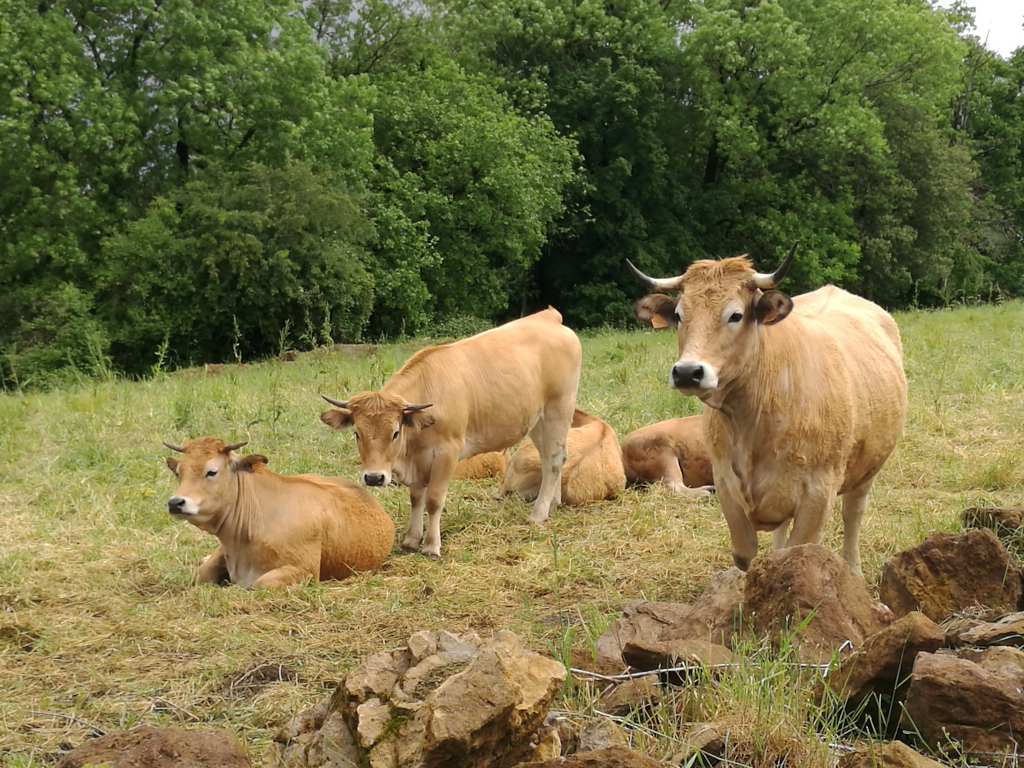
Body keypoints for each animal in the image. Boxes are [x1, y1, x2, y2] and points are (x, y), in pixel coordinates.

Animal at [163, 437, 394, 587]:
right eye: (178, 473)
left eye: (212, 471)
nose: (175, 502)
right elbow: (200, 575)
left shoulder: (306, 570)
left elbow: (260, 583)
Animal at [320, 307, 582, 557]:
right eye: (357, 433)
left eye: (395, 432)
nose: (374, 478)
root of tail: (548, 317)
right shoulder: (418, 461)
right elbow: (416, 498)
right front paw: (411, 539)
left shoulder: (447, 452)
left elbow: (434, 500)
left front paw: (431, 545)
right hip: (536, 421)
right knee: (552, 457)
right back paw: (553, 504)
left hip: (558, 409)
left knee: (553, 460)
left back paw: (539, 513)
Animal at [627, 244, 907, 574]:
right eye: (680, 315)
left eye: (736, 315)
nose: (687, 372)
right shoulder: (726, 485)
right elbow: (745, 554)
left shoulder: (818, 492)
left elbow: (797, 554)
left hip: (868, 467)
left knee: (853, 512)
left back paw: (852, 568)